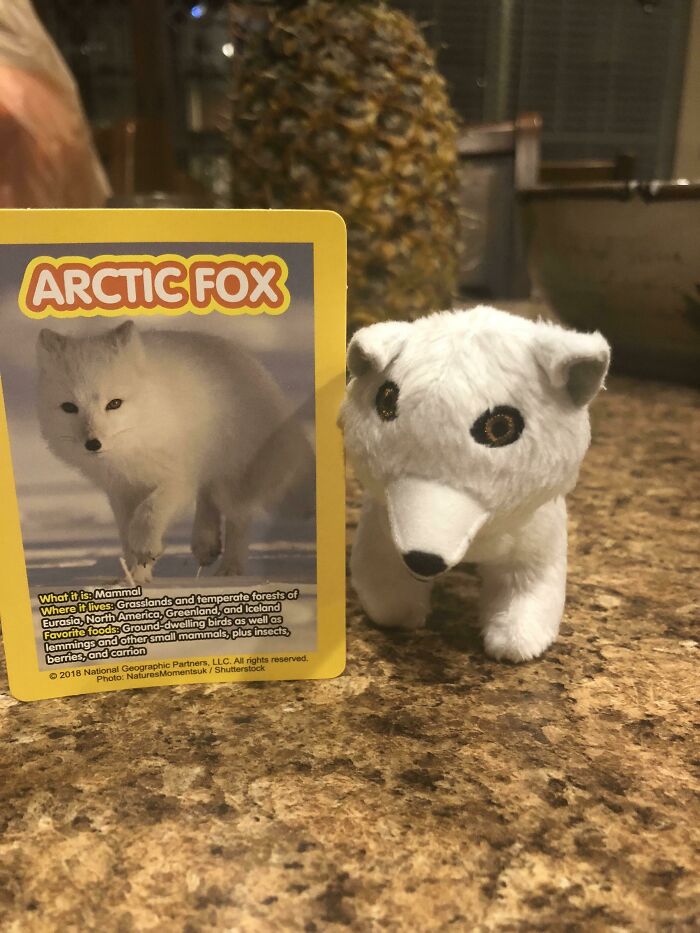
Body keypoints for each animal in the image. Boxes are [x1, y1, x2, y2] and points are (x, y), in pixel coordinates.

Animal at [36, 321, 314, 584]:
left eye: (114, 404)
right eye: (69, 407)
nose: (93, 443)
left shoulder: (178, 479)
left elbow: (150, 513)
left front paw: (146, 548)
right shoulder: (121, 491)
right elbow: (126, 535)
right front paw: (136, 577)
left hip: (232, 478)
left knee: (238, 516)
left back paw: (230, 568)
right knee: (209, 499)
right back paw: (206, 545)